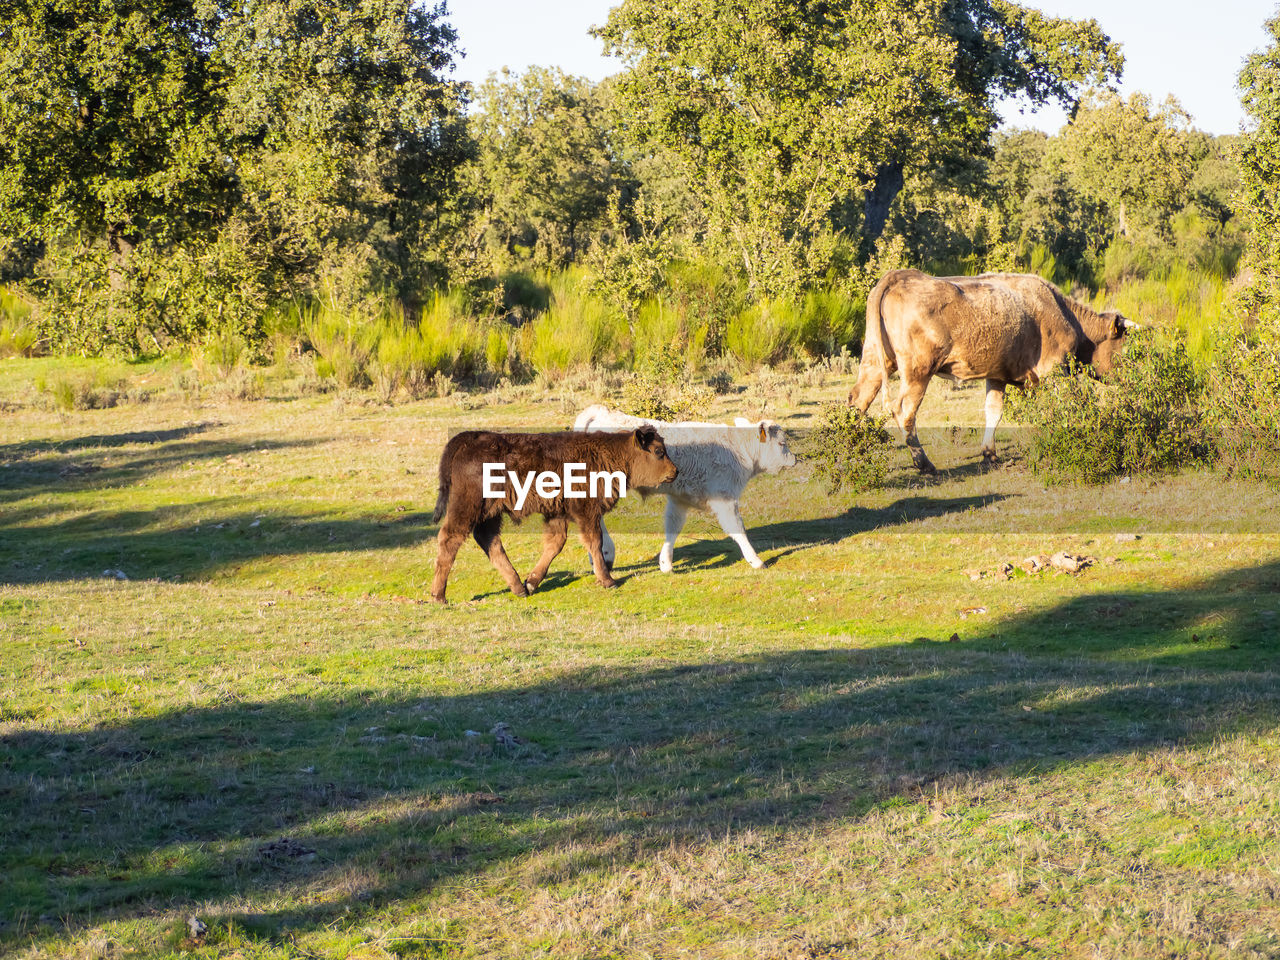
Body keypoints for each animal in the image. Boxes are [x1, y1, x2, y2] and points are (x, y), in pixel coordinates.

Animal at [432, 427, 680, 601]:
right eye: (658, 451)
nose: (675, 471)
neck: (610, 454)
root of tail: (469, 438)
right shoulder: (587, 512)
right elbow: (595, 543)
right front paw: (608, 580)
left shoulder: (557, 513)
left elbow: (555, 544)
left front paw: (532, 582)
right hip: (467, 507)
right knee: (450, 538)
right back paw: (439, 596)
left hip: (491, 514)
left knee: (489, 541)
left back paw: (518, 587)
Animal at [849, 271, 1131, 473]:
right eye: (1125, 347)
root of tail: (900, 276)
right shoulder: (1054, 372)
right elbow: (1056, 411)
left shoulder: (996, 375)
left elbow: (993, 412)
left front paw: (989, 453)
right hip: (918, 371)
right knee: (904, 411)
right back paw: (924, 464)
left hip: (875, 361)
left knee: (857, 400)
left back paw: (850, 450)